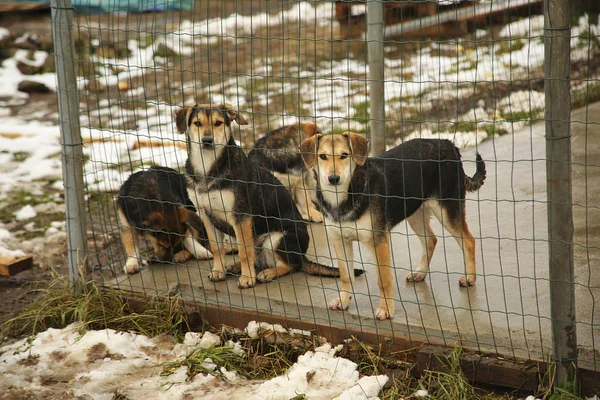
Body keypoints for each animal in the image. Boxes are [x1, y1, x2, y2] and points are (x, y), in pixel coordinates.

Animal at [173, 101, 360, 286]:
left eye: (218, 123)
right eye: (197, 123)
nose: (207, 141)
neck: (207, 167)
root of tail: (303, 255)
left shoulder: (241, 216)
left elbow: (245, 250)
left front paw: (247, 278)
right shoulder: (205, 213)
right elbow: (216, 247)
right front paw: (218, 271)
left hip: (276, 238)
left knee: (290, 265)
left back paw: (268, 273)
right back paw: (235, 266)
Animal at [300, 133, 488, 320]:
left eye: (344, 155)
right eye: (322, 156)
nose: (333, 179)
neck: (346, 195)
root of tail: (448, 143)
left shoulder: (379, 241)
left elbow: (383, 279)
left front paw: (385, 309)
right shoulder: (339, 241)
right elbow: (346, 276)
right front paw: (344, 301)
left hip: (446, 211)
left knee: (469, 241)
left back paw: (469, 277)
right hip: (414, 213)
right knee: (431, 240)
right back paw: (420, 272)